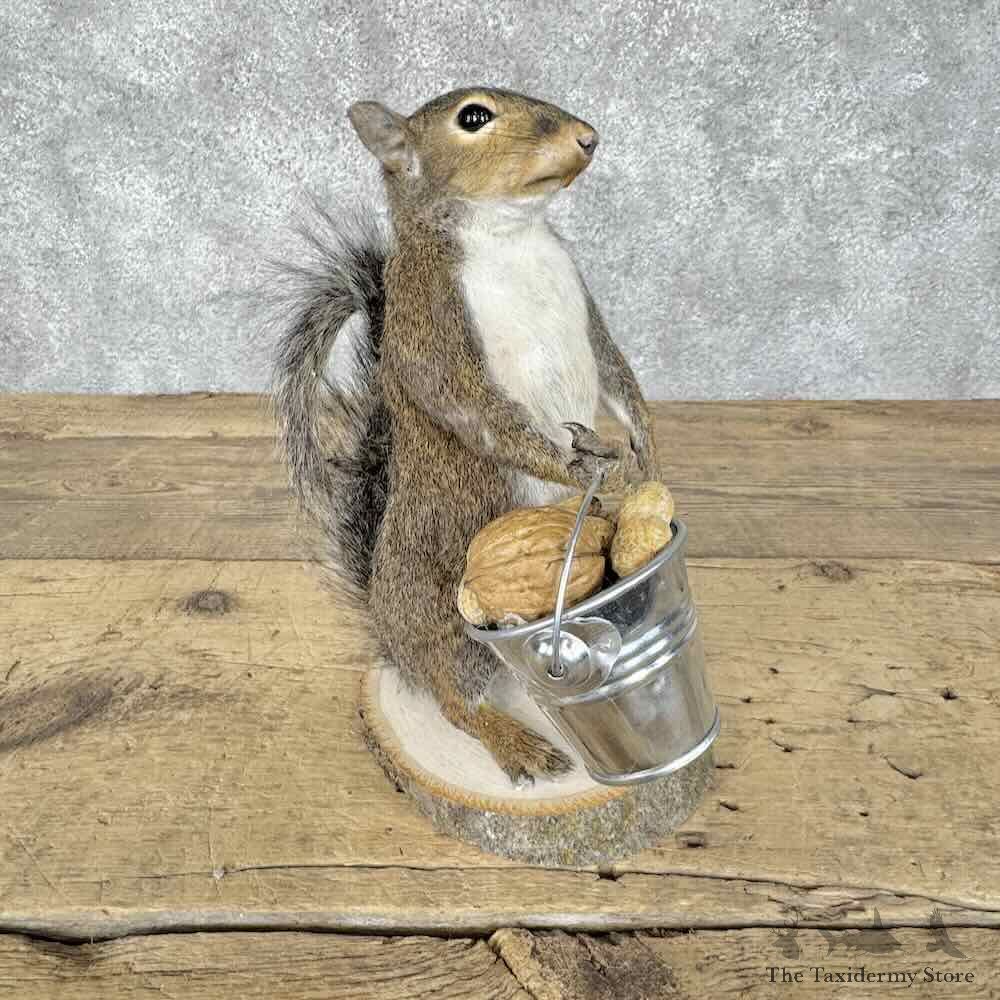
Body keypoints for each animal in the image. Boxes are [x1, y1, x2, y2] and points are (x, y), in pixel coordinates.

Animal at [272, 87, 656, 783]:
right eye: (473, 118)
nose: (588, 137)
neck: (512, 238)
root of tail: (390, 634)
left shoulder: (589, 317)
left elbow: (619, 377)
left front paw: (646, 460)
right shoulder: (433, 330)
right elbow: (479, 413)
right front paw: (577, 469)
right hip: (451, 623)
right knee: (455, 702)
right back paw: (516, 742)